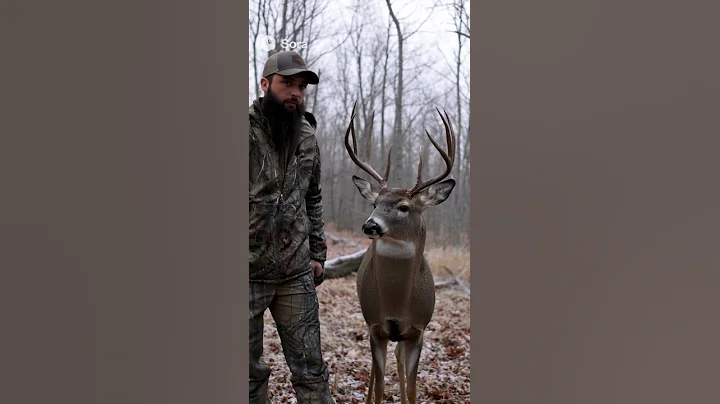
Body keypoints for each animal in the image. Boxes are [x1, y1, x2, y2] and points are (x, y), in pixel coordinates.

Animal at [344, 102, 456, 404]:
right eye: (374, 203)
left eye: (404, 207)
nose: (370, 225)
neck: (397, 302)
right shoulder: (376, 327)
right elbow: (381, 386)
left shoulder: (418, 330)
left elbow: (414, 388)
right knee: (376, 370)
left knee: (399, 360)